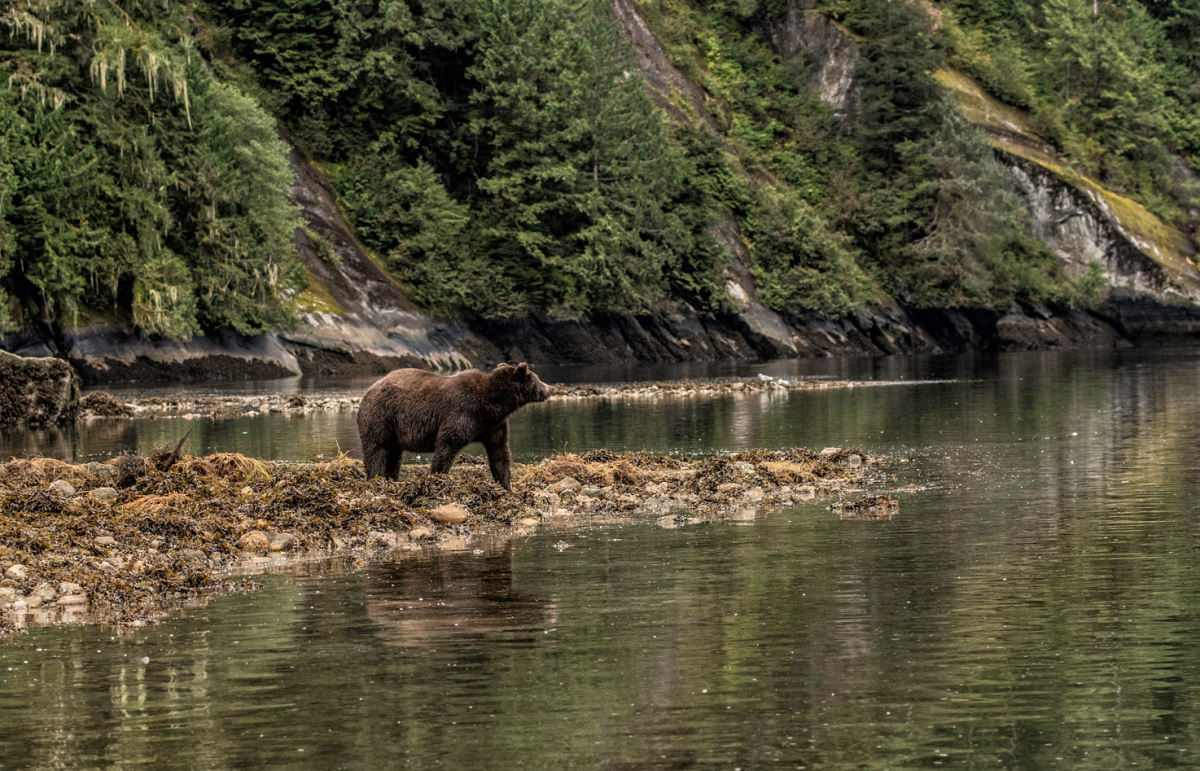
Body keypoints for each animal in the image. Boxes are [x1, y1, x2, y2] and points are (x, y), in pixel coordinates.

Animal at [355, 357, 552, 485]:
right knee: (377, 448)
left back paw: (391, 478)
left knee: (394, 455)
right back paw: (375, 477)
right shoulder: (462, 413)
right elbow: (447, 446)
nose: (551, 387)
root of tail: (368, 391)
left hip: (394, 428)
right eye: (536, 379)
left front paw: (506, 485)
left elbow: (500, 452)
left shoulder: (492, 425)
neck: (493, 404)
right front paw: (438, 476)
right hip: (381, 415)